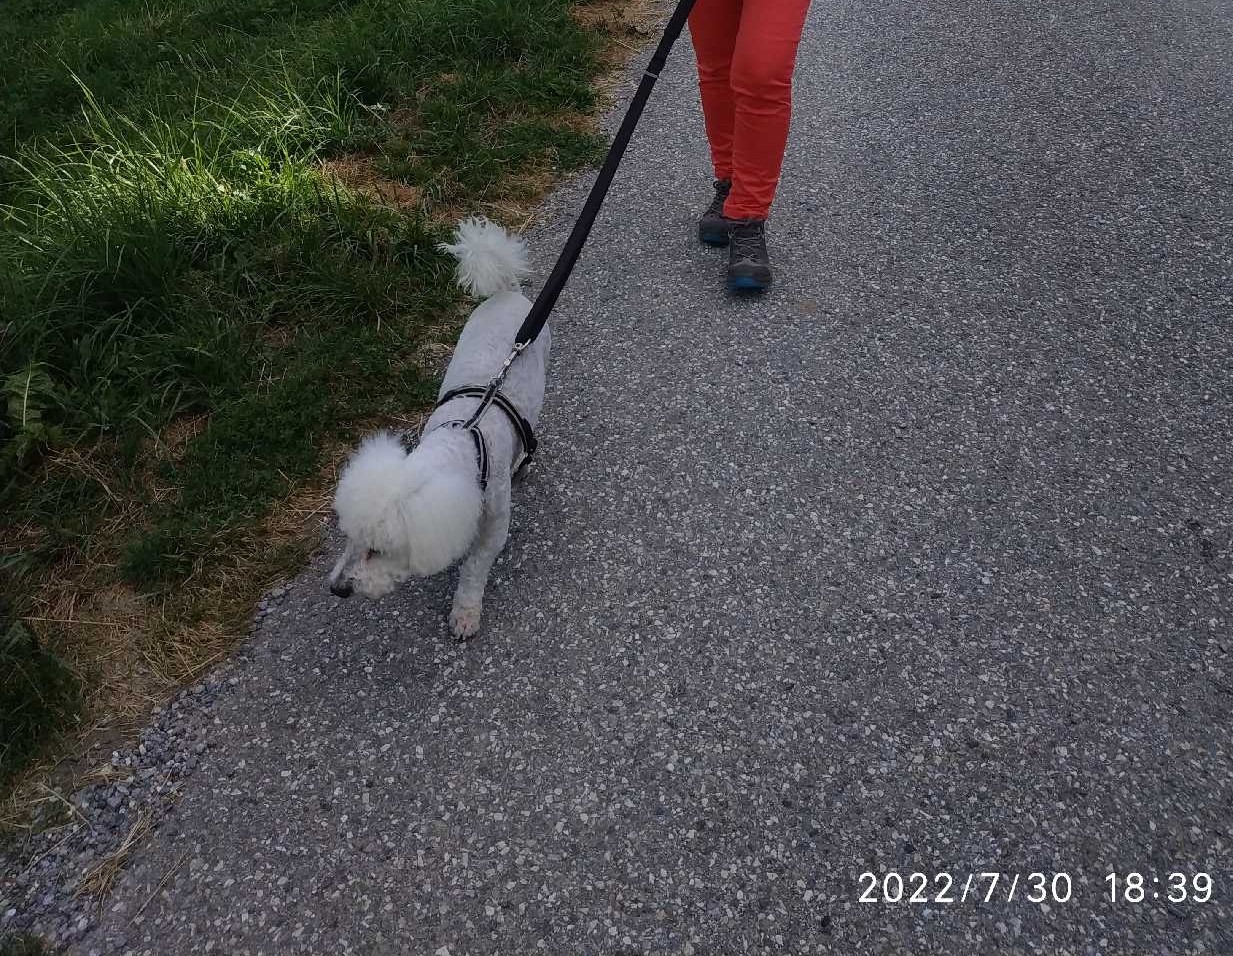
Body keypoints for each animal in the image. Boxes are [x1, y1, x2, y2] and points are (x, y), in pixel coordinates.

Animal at [327, 217, 550, 640]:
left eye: (378, 550)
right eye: (348, 537)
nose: (338, 589)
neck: (461, 439)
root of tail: (506, 292)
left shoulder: (494, 523)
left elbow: (475, 568)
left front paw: (464, 614)